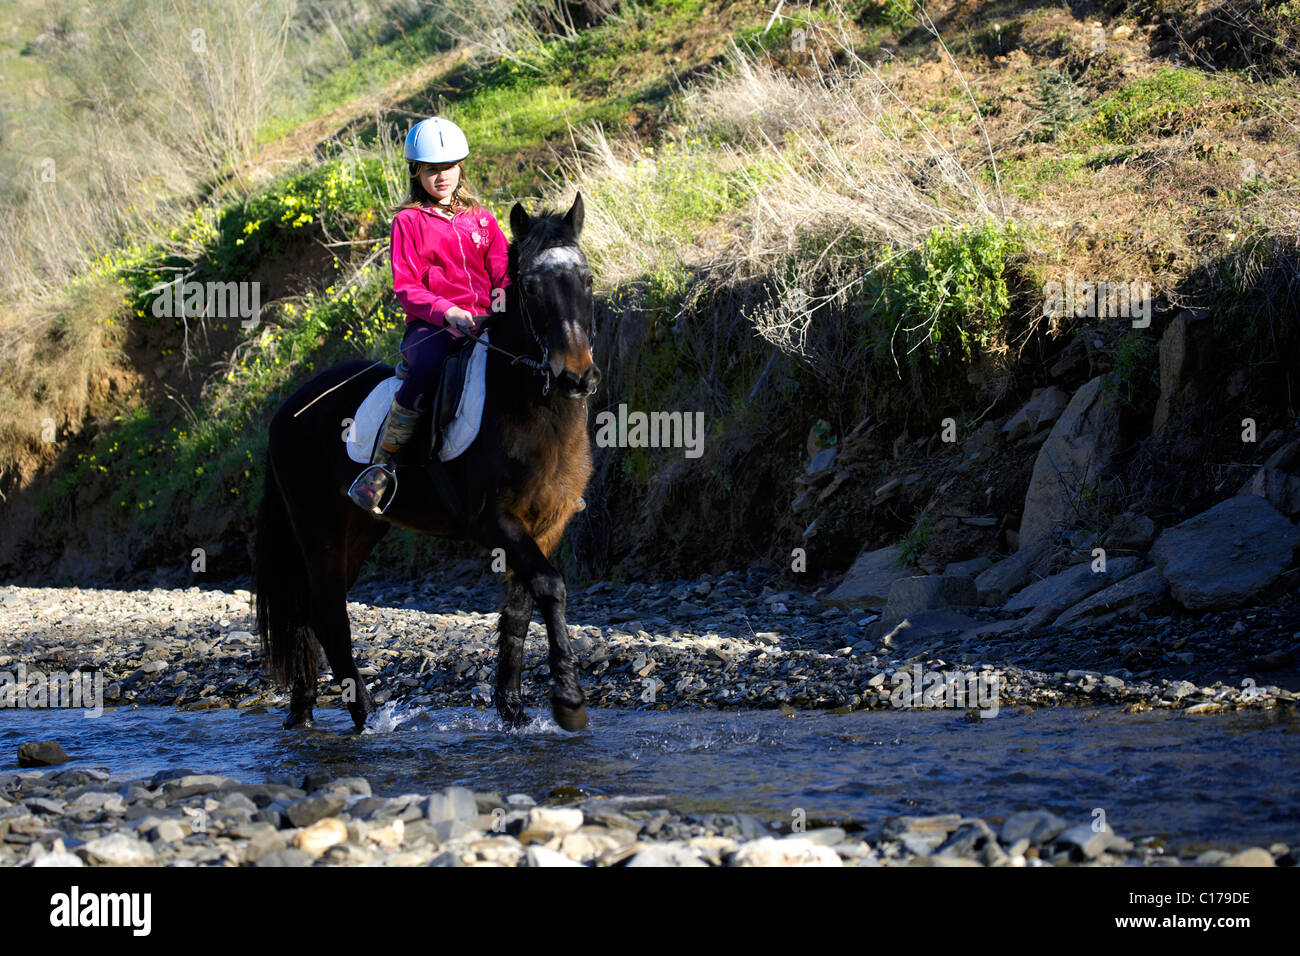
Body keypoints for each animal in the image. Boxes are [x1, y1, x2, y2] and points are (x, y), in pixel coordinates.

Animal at [253, 192, 598, 733]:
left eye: (586, 279)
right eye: (531, 287)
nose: (576, 376)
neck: (530, 405)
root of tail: (287, 409)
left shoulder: (547, 523)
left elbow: (521, 608)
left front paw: (514, 709)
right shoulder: (495, 520)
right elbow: (549, 586)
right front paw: (568, 700)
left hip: (360, 527)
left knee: (313, 609)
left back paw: (304, 712)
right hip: (318, 525)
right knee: (328, 610)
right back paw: (366, 717)